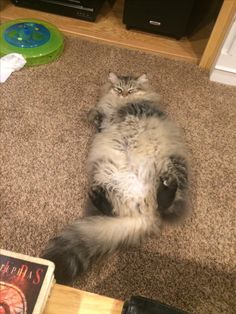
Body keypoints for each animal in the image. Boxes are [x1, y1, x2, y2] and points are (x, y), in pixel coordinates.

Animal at [42, 72, 189, 284]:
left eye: (131, 89)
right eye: (119, 89)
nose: (124, 94)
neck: (119, 103)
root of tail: (144, 214)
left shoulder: (137, 107)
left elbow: (122, 111)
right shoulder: (103, 122)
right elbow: (97, 115)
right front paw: (95, 113)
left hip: (175, 167)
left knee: (167, 205)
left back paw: (166, 186)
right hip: (105, 176)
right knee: (111, 209)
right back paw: (98, 196)